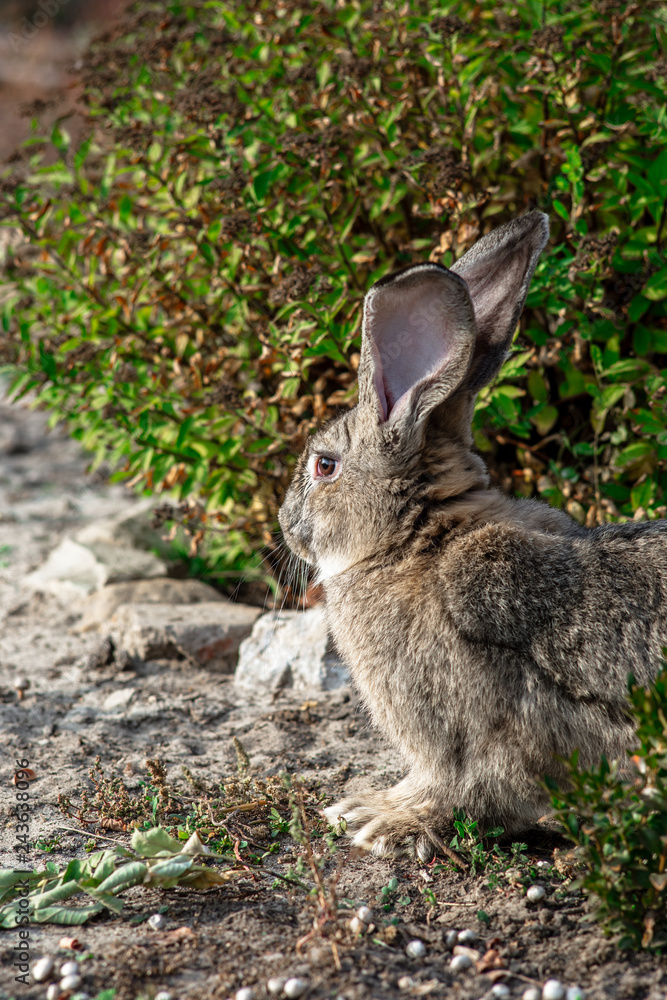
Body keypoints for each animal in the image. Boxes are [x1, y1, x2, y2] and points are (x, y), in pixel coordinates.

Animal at [278, 211, 667, 860]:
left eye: (324, 466)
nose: (286, 526)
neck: (415, 540)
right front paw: (369, 804)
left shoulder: (485, 733)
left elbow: (472, 789)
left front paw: (387, 822)